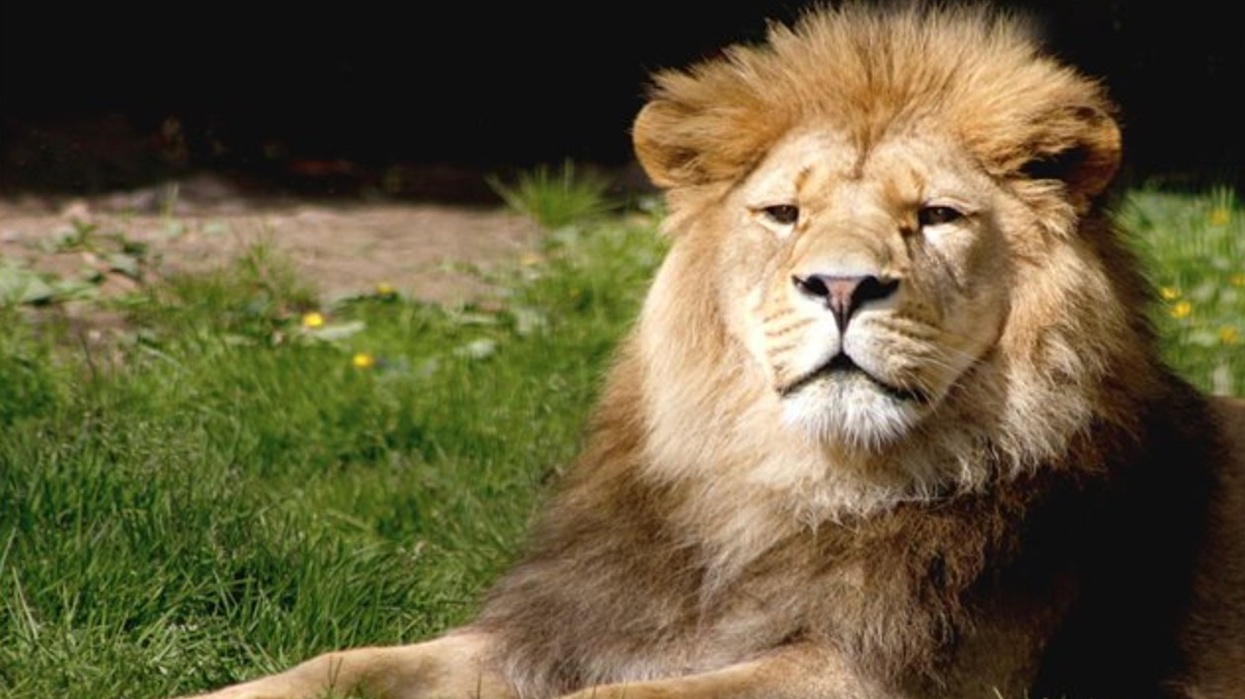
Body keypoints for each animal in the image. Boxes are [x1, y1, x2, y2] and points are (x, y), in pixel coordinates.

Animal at [178, 6, 1245, 699]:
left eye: (936, 217)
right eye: (783, 214)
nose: (842, 286)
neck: (777, 488)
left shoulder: (874, 675)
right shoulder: (556, 628)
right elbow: (338, 666)